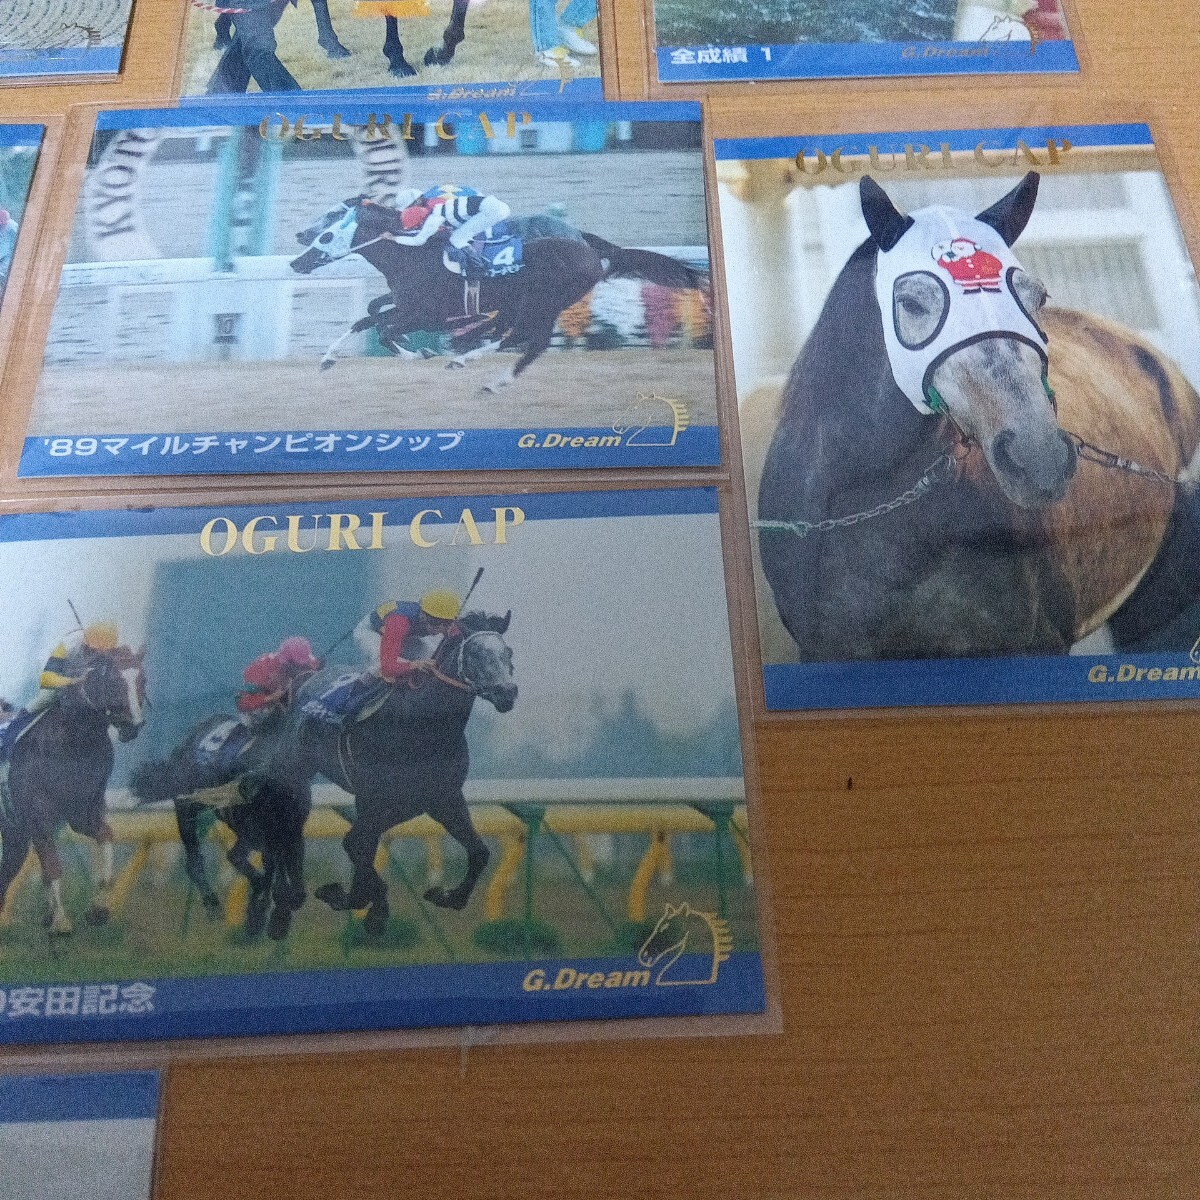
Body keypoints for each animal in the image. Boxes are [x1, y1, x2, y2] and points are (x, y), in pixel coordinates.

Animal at [0, 649, 146, 936]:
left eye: (142, 681)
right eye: (114, 681)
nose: (132, 725)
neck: (73, 743)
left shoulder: (83, 813)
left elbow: (106, 837)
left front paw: (98, 909)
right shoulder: (38, 816)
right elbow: (52, 867)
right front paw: (61, 922)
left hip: (14, 833)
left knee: (7, 870)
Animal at [276, 611, 518, 938]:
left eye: (508, 653)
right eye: (476, 654)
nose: (508, 692)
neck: (423, 724)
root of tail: (305, 678)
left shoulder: (440, 799)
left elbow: (479, 852)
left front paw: (447, 896)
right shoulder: (376, 799)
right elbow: (356, 843)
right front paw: (368, 907)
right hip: (296, 768)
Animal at [290, 196, 703, 393]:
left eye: (328, 231)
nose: (296, 259)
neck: (410, 254)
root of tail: (590, 249)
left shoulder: (426, 313)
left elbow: (383, 327)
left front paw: (419, 352)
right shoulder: (408, 305)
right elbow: (369, 316)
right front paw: (327, 358)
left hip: (542, 302)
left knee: (526, 338)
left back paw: (478, 369)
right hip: (529, 303)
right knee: (515, 334)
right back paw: (469, 355)